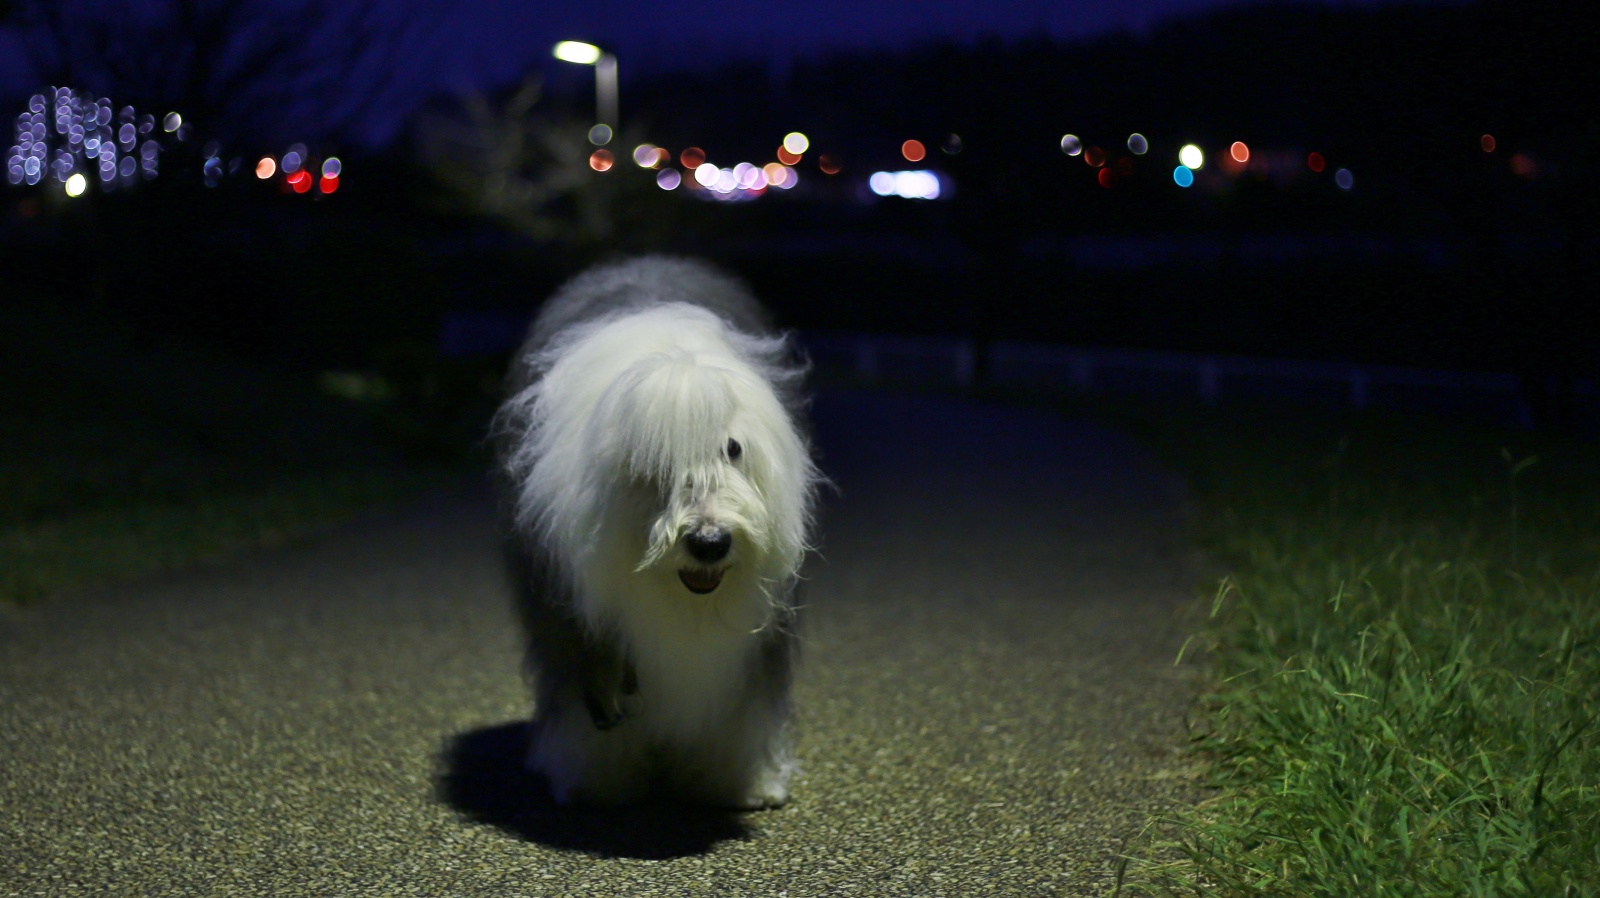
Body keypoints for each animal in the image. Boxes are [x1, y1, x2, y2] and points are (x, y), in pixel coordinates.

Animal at [492, 256, 820, 809]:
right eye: (655, 464)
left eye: (733, 449)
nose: (710, 543)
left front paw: (745, 781)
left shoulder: (759, 640)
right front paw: (596, 782)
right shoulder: (574, 621)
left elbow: (744, 711)